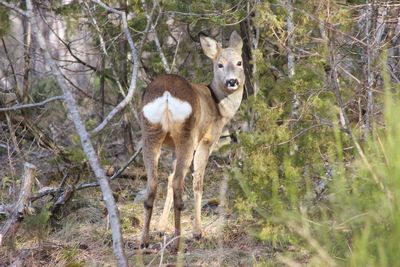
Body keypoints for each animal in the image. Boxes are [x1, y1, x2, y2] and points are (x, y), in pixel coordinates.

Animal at [140, 31, 244, 251]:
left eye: (239, 62)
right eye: (219, 64)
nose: (232, 81)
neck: (218, 107)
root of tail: (167, 95)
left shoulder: (171, 148)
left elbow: (169, 179)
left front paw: (160, 228)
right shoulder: (207, 140)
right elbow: (198, 182)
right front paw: (198, 232)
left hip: (150, 132)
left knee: (154, 183)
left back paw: (144, 241)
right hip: (186, 135)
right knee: (179, 183)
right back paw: (179, 241)